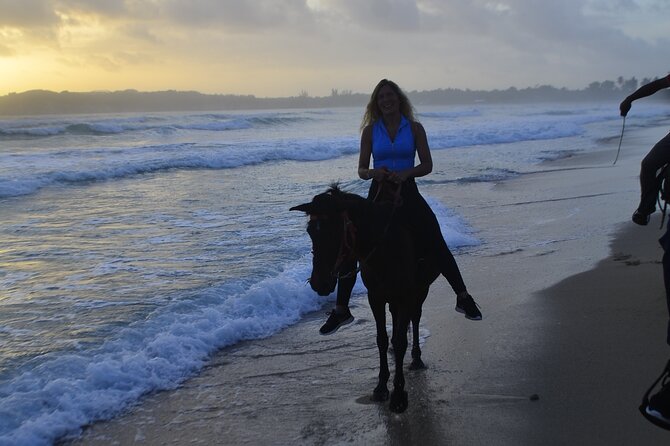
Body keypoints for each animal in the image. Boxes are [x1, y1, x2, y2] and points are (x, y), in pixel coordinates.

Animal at [290, 184, 440, 412]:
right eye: (310, 231)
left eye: (334, 231)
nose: (319, 283)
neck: (385, 250)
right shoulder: (375, 298)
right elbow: (381, 339)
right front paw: (381, 386)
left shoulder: (406, 296)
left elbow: (401, 341)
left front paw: (398, 394)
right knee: (396, 321)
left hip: (421, 291)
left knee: (415, 319)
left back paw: (416, 358)